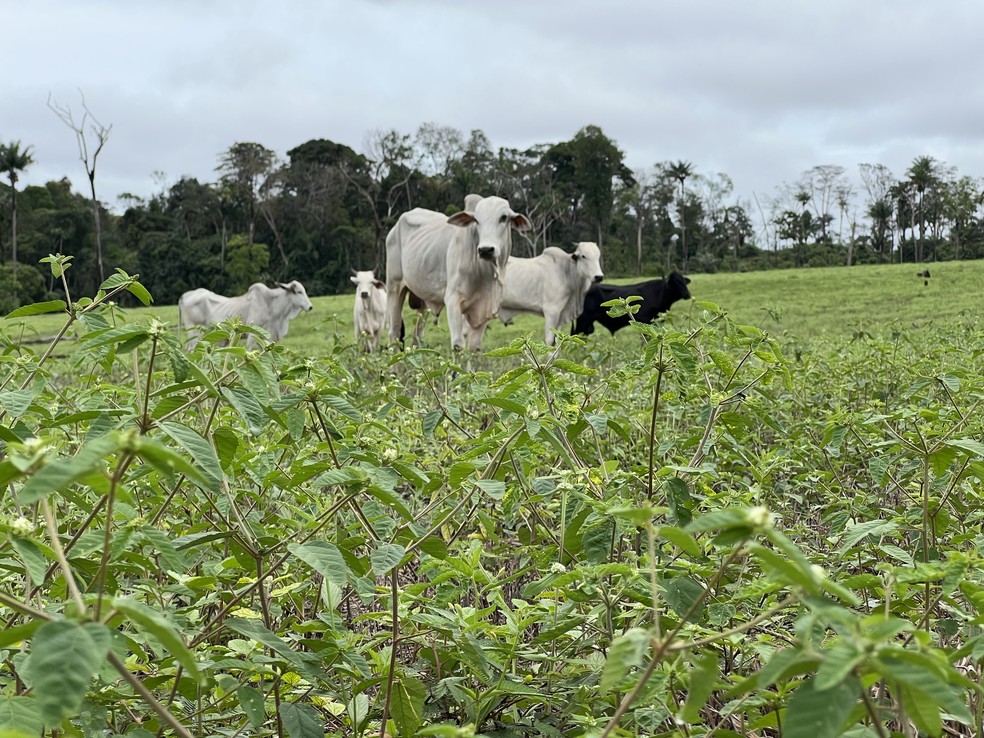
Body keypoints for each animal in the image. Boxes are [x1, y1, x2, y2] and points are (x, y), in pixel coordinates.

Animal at [384, 193, 532, 348]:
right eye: (476, 220)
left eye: (503, 217)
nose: (485, 250)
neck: (484, 272)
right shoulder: (452, 299)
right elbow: (458, 344)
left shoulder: (485, 310)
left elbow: (474, 346)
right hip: (394, 288)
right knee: (394, 333)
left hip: (422, 301)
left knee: (417, 336)